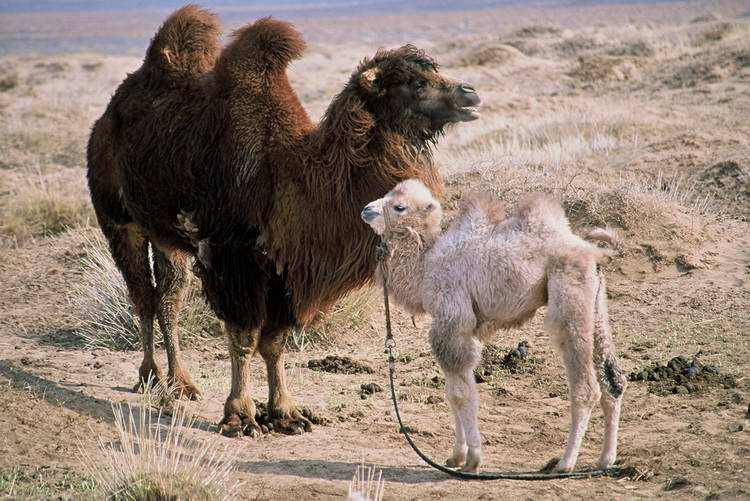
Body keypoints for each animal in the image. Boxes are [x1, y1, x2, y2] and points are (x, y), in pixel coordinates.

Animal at [86, 6, 480, 436]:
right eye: (416, 82)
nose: (470, 93)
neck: (293, 175)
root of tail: (108, 114)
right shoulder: (232, 257)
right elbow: (243, 337)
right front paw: (240, 416)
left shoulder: (287, 268)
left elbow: (274, 343)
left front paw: (285, 413)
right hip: (119, 221)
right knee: (142, 296)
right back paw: (150, 376)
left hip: (166, 236)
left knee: (168, 298)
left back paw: (181, 383)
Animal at [361, 179, 626, 473]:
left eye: (399, 206)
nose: (366, 210)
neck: (426, 266)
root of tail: (595, 252)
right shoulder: (457, 329)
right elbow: (452, 394)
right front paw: (456, 457)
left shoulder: (453, 322)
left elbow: (462, 395)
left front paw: (473, 460)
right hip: (596, 306)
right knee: (613, 380)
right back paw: (606, 459)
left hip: (569, 299)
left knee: (585, 386)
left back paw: (565, 463)